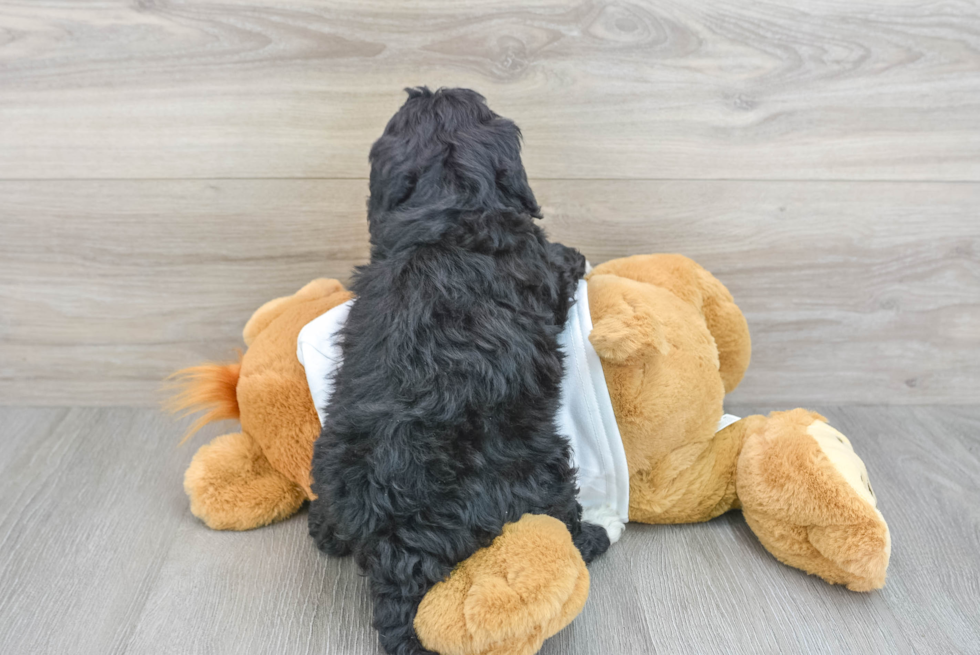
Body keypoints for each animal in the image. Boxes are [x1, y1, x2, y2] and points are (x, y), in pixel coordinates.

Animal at [310, 88, 608, 655]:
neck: (451, 209)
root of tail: (396, 540)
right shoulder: (540, 264)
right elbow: (563, 262)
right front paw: (578, 254)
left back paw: (323, 527)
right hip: (539, 464)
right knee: (558, 508)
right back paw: (592, 539)